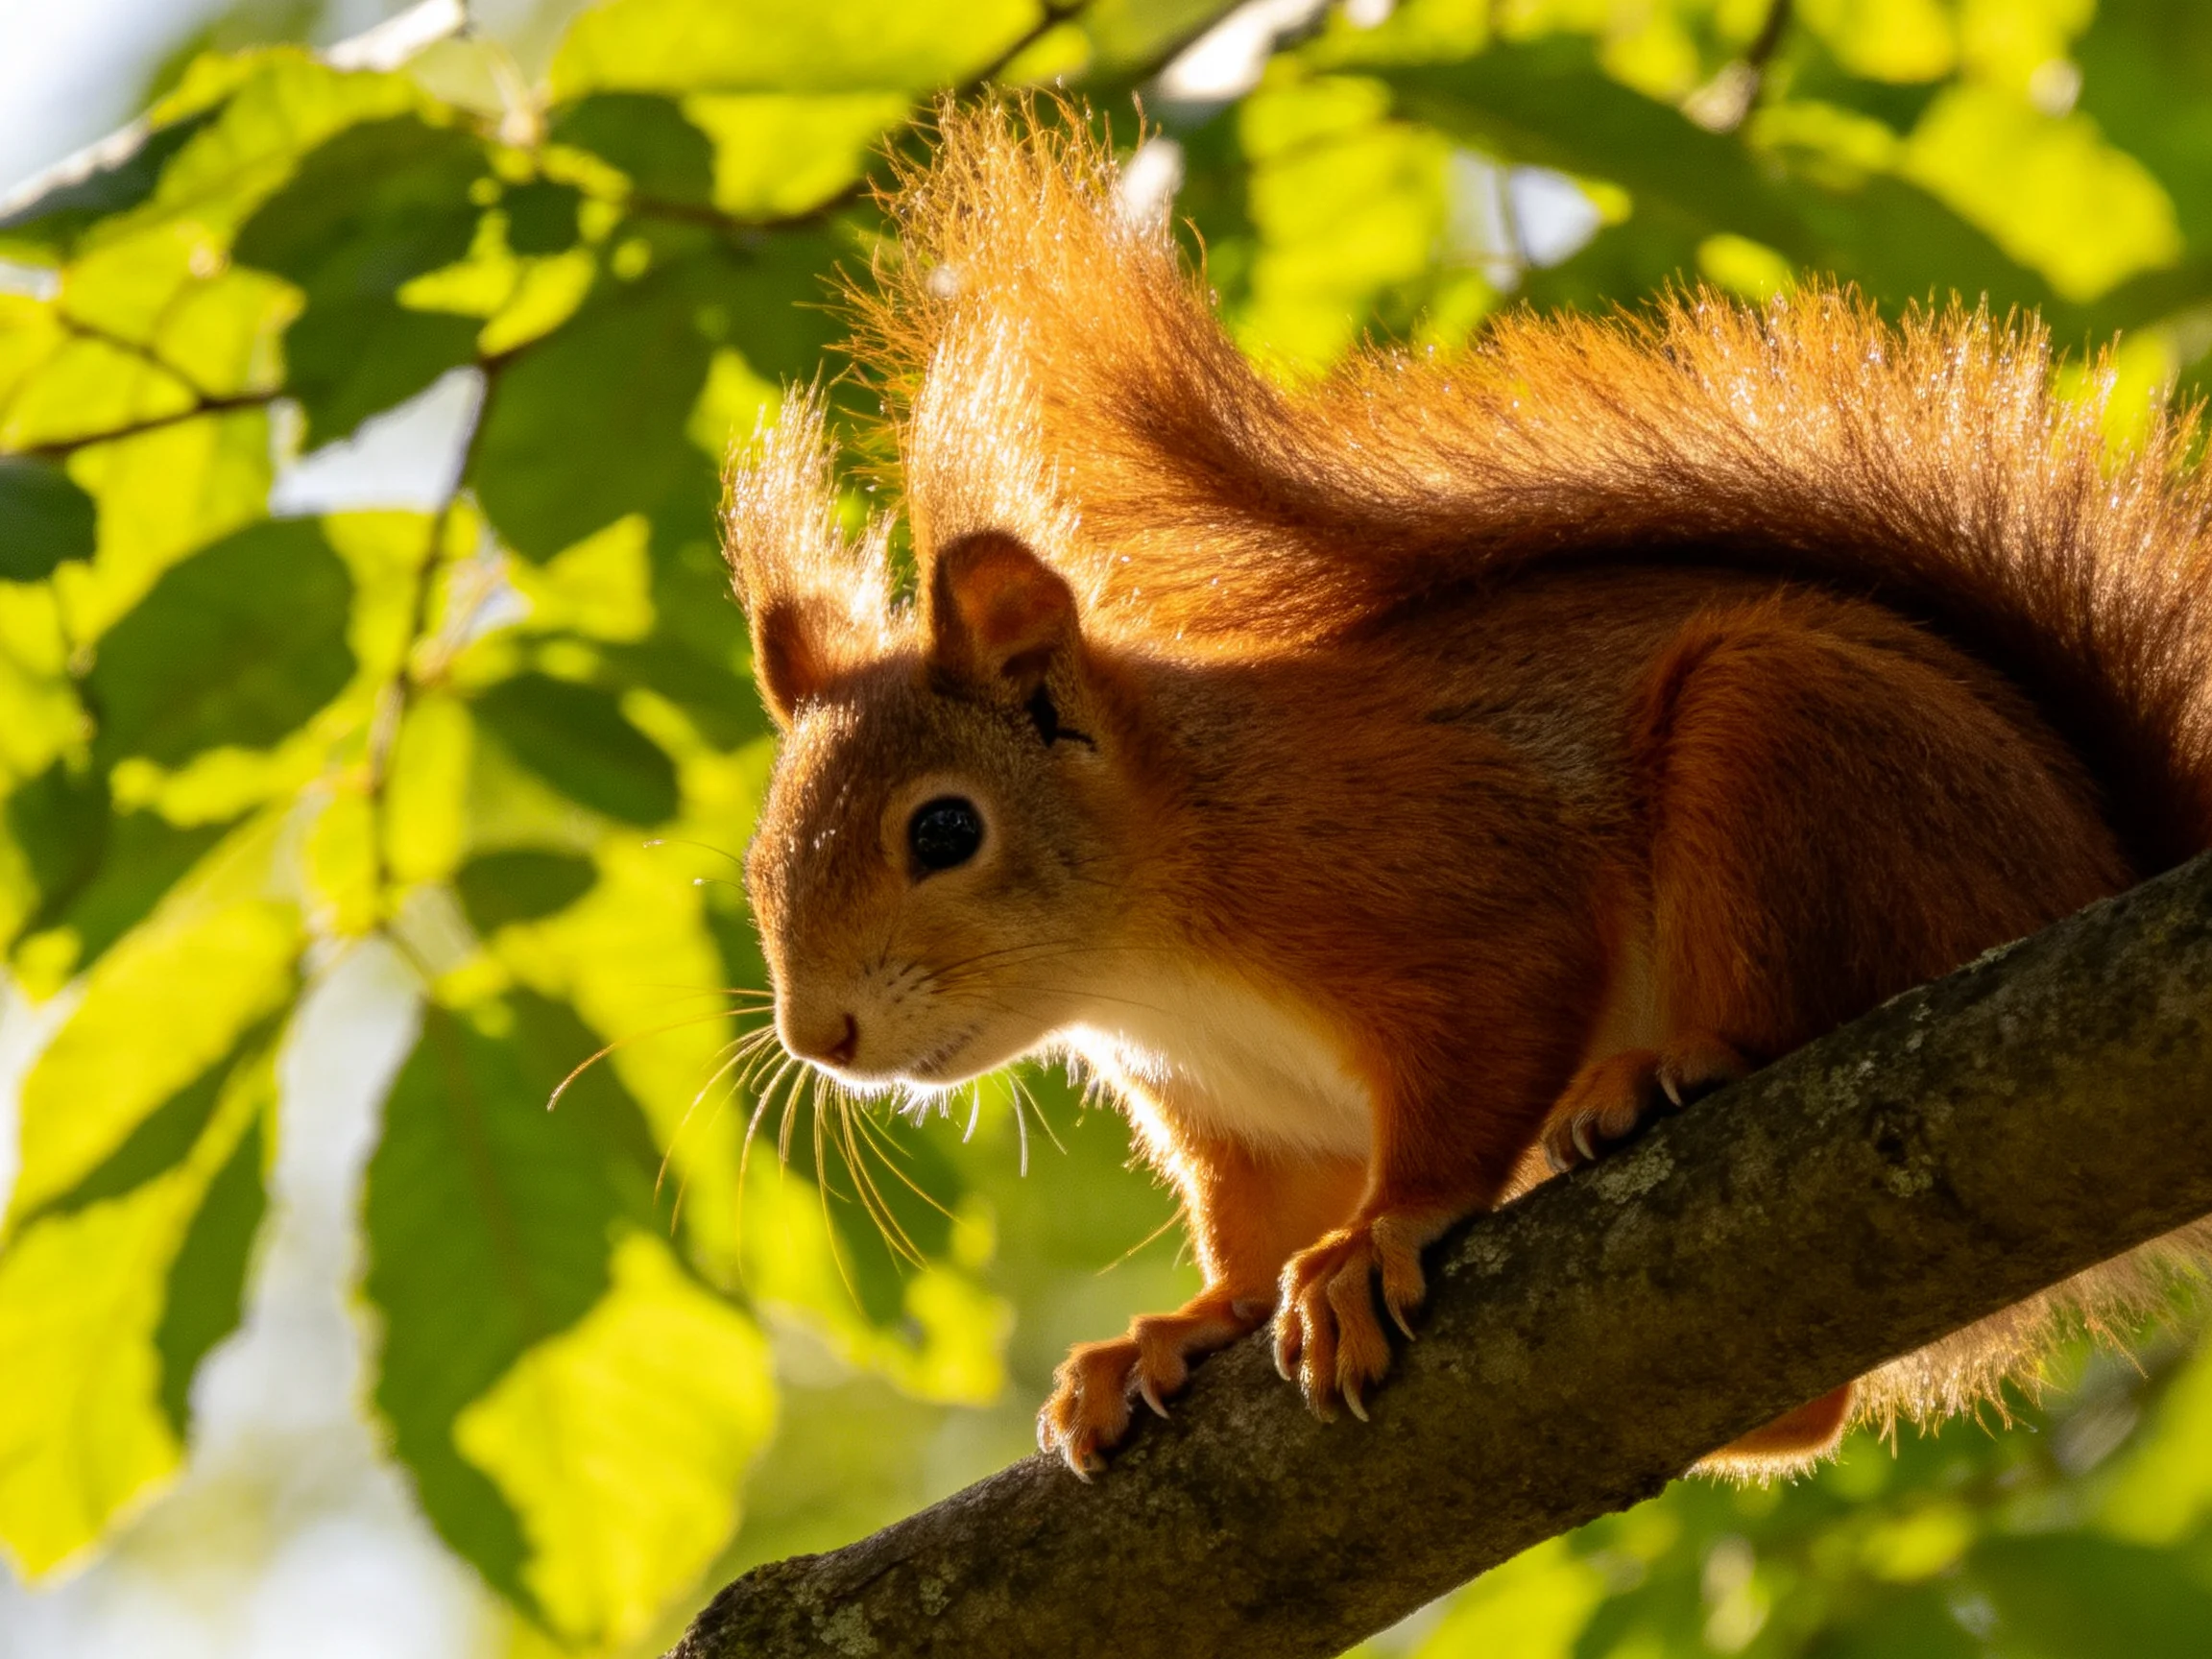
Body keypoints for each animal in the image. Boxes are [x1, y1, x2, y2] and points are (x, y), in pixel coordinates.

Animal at [722, 99, 2212, 1479]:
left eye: (945, 828)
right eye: (754, 865)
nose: (820, 1038)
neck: (1150, 948)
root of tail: (2098, 860)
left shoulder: (1442, 884)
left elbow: (1482, 1053)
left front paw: (1378, 1235)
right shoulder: (1237, 1119)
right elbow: (1249, 1236)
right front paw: (1178, 1327)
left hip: (1791, 737)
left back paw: (1669, 1066)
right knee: (1809, 1406)